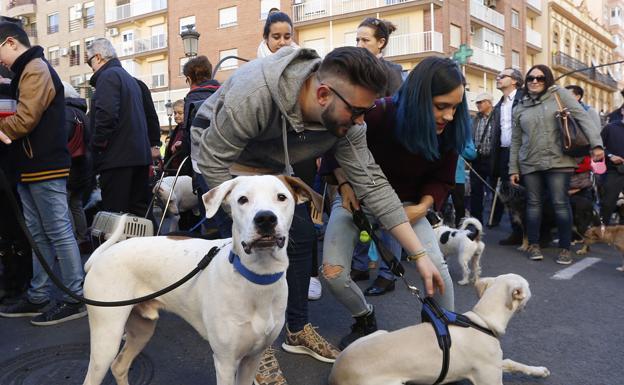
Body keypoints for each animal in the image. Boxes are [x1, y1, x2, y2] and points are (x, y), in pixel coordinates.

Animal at [83, 175, 316, 384]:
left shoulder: (253, 358)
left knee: (119, 366)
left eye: (281, 197)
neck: (256, 277)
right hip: (106, 339)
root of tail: (99, 257)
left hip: (141, 330)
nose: (265, 218)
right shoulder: (225, 362)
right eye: (242, 199)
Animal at [330, 272, 548, 384]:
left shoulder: (493, 364)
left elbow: (513, 362)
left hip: (379, 333)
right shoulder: (489, 378)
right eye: (528, 286)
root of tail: (335, 374)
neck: (482, 320)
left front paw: (539, 371)